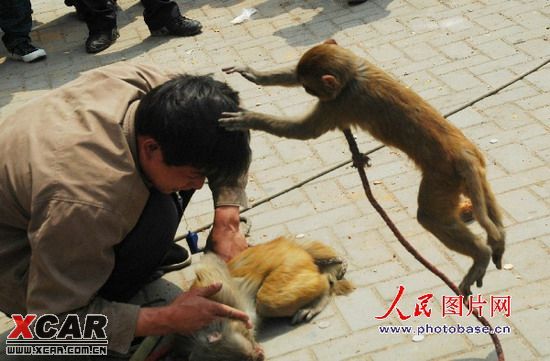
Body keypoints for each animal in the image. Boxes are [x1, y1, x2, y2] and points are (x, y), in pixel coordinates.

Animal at [179, 236, 356, 360]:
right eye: (246, 360)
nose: (259, 355)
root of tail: (294, 246)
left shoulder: (219, 291)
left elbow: (210, 266)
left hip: (290, 264)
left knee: (268, 302)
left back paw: (321, 291)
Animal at [221, 40, 508, 296]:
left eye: (310, 89)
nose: (307, 91)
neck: (353, 78)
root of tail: (464, 153)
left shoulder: (337, 104)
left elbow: (304, 131)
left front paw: (250, 118)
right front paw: (255, 73)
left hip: (443, 178)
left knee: (429, 216)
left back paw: (481, 254)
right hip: (473, 174)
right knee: (487, 206)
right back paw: (498, 242)